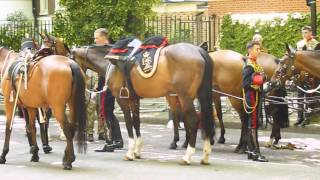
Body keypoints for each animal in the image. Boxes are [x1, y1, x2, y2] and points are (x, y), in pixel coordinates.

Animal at [71, 37, 214, 165]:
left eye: (71, 59)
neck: (111, 61)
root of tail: (198, 50)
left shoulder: (122, 99)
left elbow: (128, 123)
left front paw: (130, 152)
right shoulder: (134, 99)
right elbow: (136, 122)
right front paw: (137, 151)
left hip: (185, 97)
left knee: (193, 120)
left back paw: (187, 156)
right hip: (199, 95)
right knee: (204, 118)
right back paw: (205, 155)